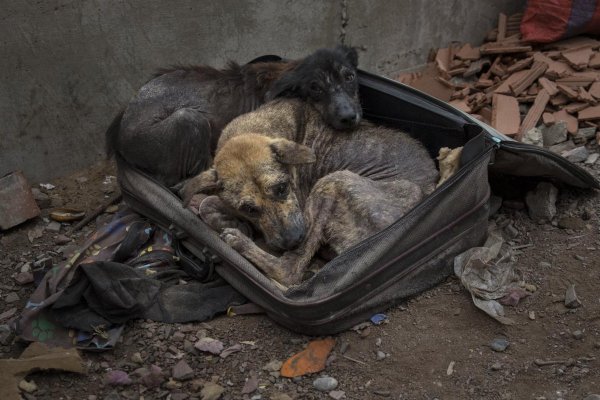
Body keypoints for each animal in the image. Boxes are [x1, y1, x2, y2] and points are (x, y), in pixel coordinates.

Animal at [180, 98, 438, 286]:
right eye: (249, 209)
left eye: (282, 188)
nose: (293, 240)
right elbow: (207, 203)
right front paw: (230, 220)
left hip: (331, 182)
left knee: (289, 271)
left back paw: (241, 243)